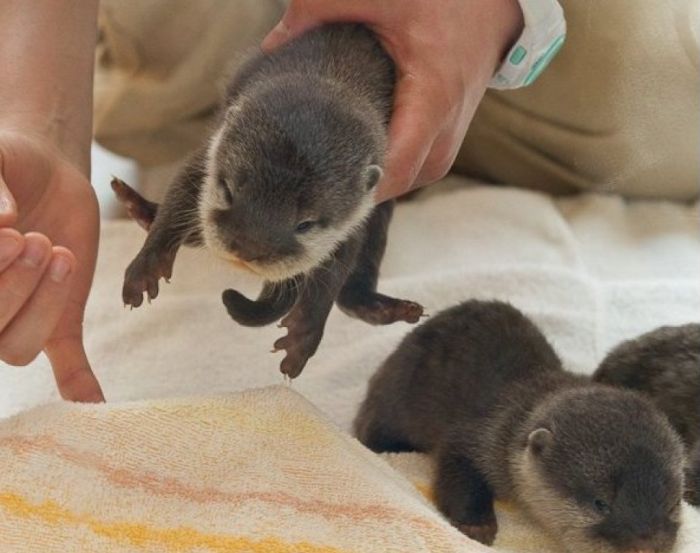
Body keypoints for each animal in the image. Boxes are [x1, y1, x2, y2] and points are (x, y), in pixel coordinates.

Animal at [112, 23, 424, 378]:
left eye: (305, 224)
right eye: (228, 191)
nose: (247, 248)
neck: (330, 73)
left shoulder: (357, 216)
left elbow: (333, 272)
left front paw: (303, 334)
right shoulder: (207, 156)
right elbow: (177, 197)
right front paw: (145, 268)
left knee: (352, 290)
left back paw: (387, 308)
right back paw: (138, 206)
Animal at [356, 300, 684, 548]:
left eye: (671, 506)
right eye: (600, 504)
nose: (647, 545)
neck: (511, 419)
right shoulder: (475, 436)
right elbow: (456, 468)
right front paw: (476, 525)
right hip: (390, 400)